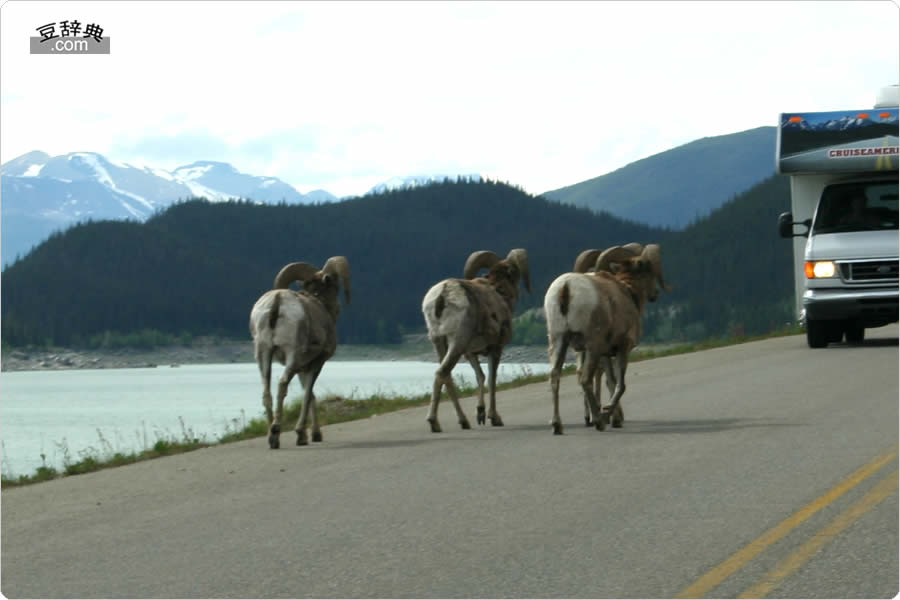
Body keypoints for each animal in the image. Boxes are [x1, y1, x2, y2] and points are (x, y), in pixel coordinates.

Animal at [253, 255, 356, 448]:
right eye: (335, 285)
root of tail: (277, 300)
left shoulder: (302, 368)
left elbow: (311, 395)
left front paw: (313, 435)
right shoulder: (316, 362)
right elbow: (308, 394)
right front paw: (304, 435)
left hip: (263, 353)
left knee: (266, 390)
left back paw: (270, 436)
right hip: (292, 354)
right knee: (282, 384)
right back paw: (275, 432)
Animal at [420, 248, 528, 432]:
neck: (500, 294)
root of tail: (443, 294)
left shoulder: (470, 353)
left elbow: (480, 377)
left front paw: (480, 414)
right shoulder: (495, 348)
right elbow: (492, 379)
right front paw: (495, 418)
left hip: (438, 342)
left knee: (447, 377)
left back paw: (463, 421)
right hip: (456, 343)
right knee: (442, 373)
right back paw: (435, 422)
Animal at [544, 244, 664, 436]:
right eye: (649, 271)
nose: (655, 293)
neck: (628, 292)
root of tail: (566, 288)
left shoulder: (606, 353)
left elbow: (611, 381)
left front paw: (614, 418)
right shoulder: (622, 347)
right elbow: (620, 385)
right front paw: (608, 414)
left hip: (558, 340)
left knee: (555, 377)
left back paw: (557, 425)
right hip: (591, 345)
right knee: (585, 380)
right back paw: (598, 421)